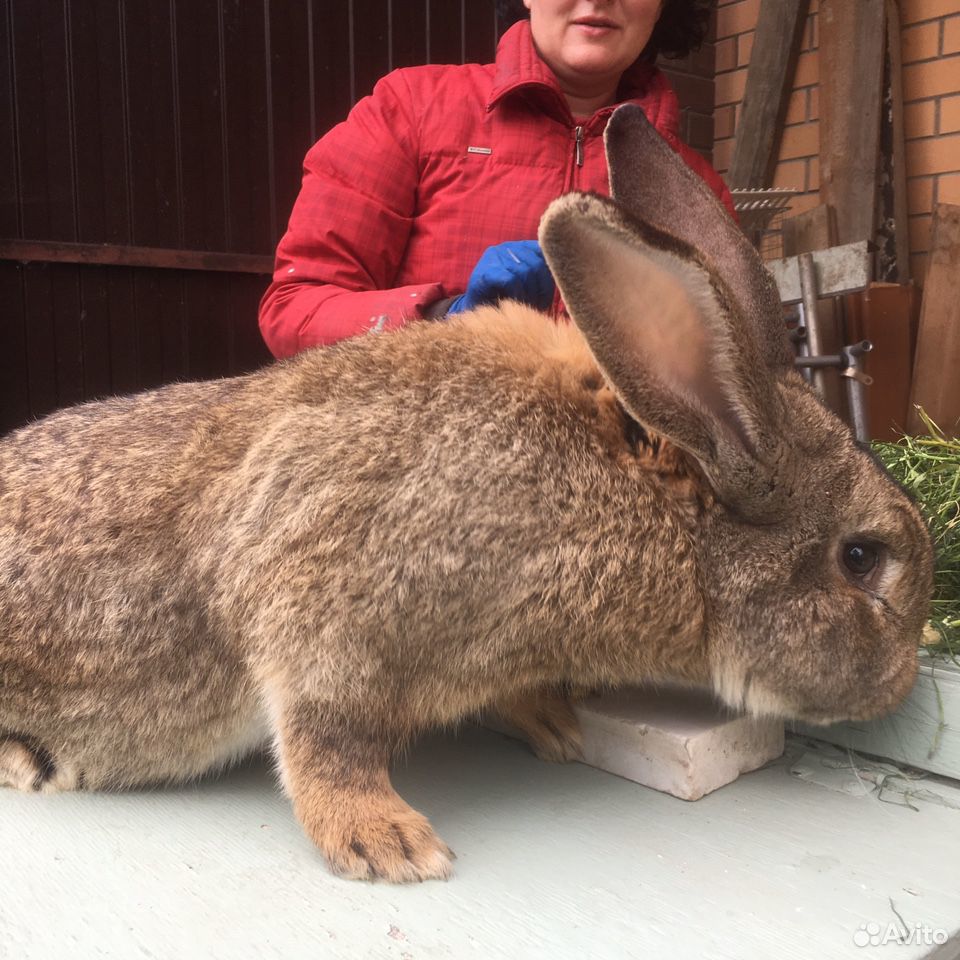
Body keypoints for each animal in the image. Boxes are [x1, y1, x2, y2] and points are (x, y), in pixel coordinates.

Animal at [0, 103, 928, 876]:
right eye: (861, 558)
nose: (901, 684)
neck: (651, 515)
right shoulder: (325, 611)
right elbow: (324, 741)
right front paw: (388, 844)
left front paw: (554, 724)